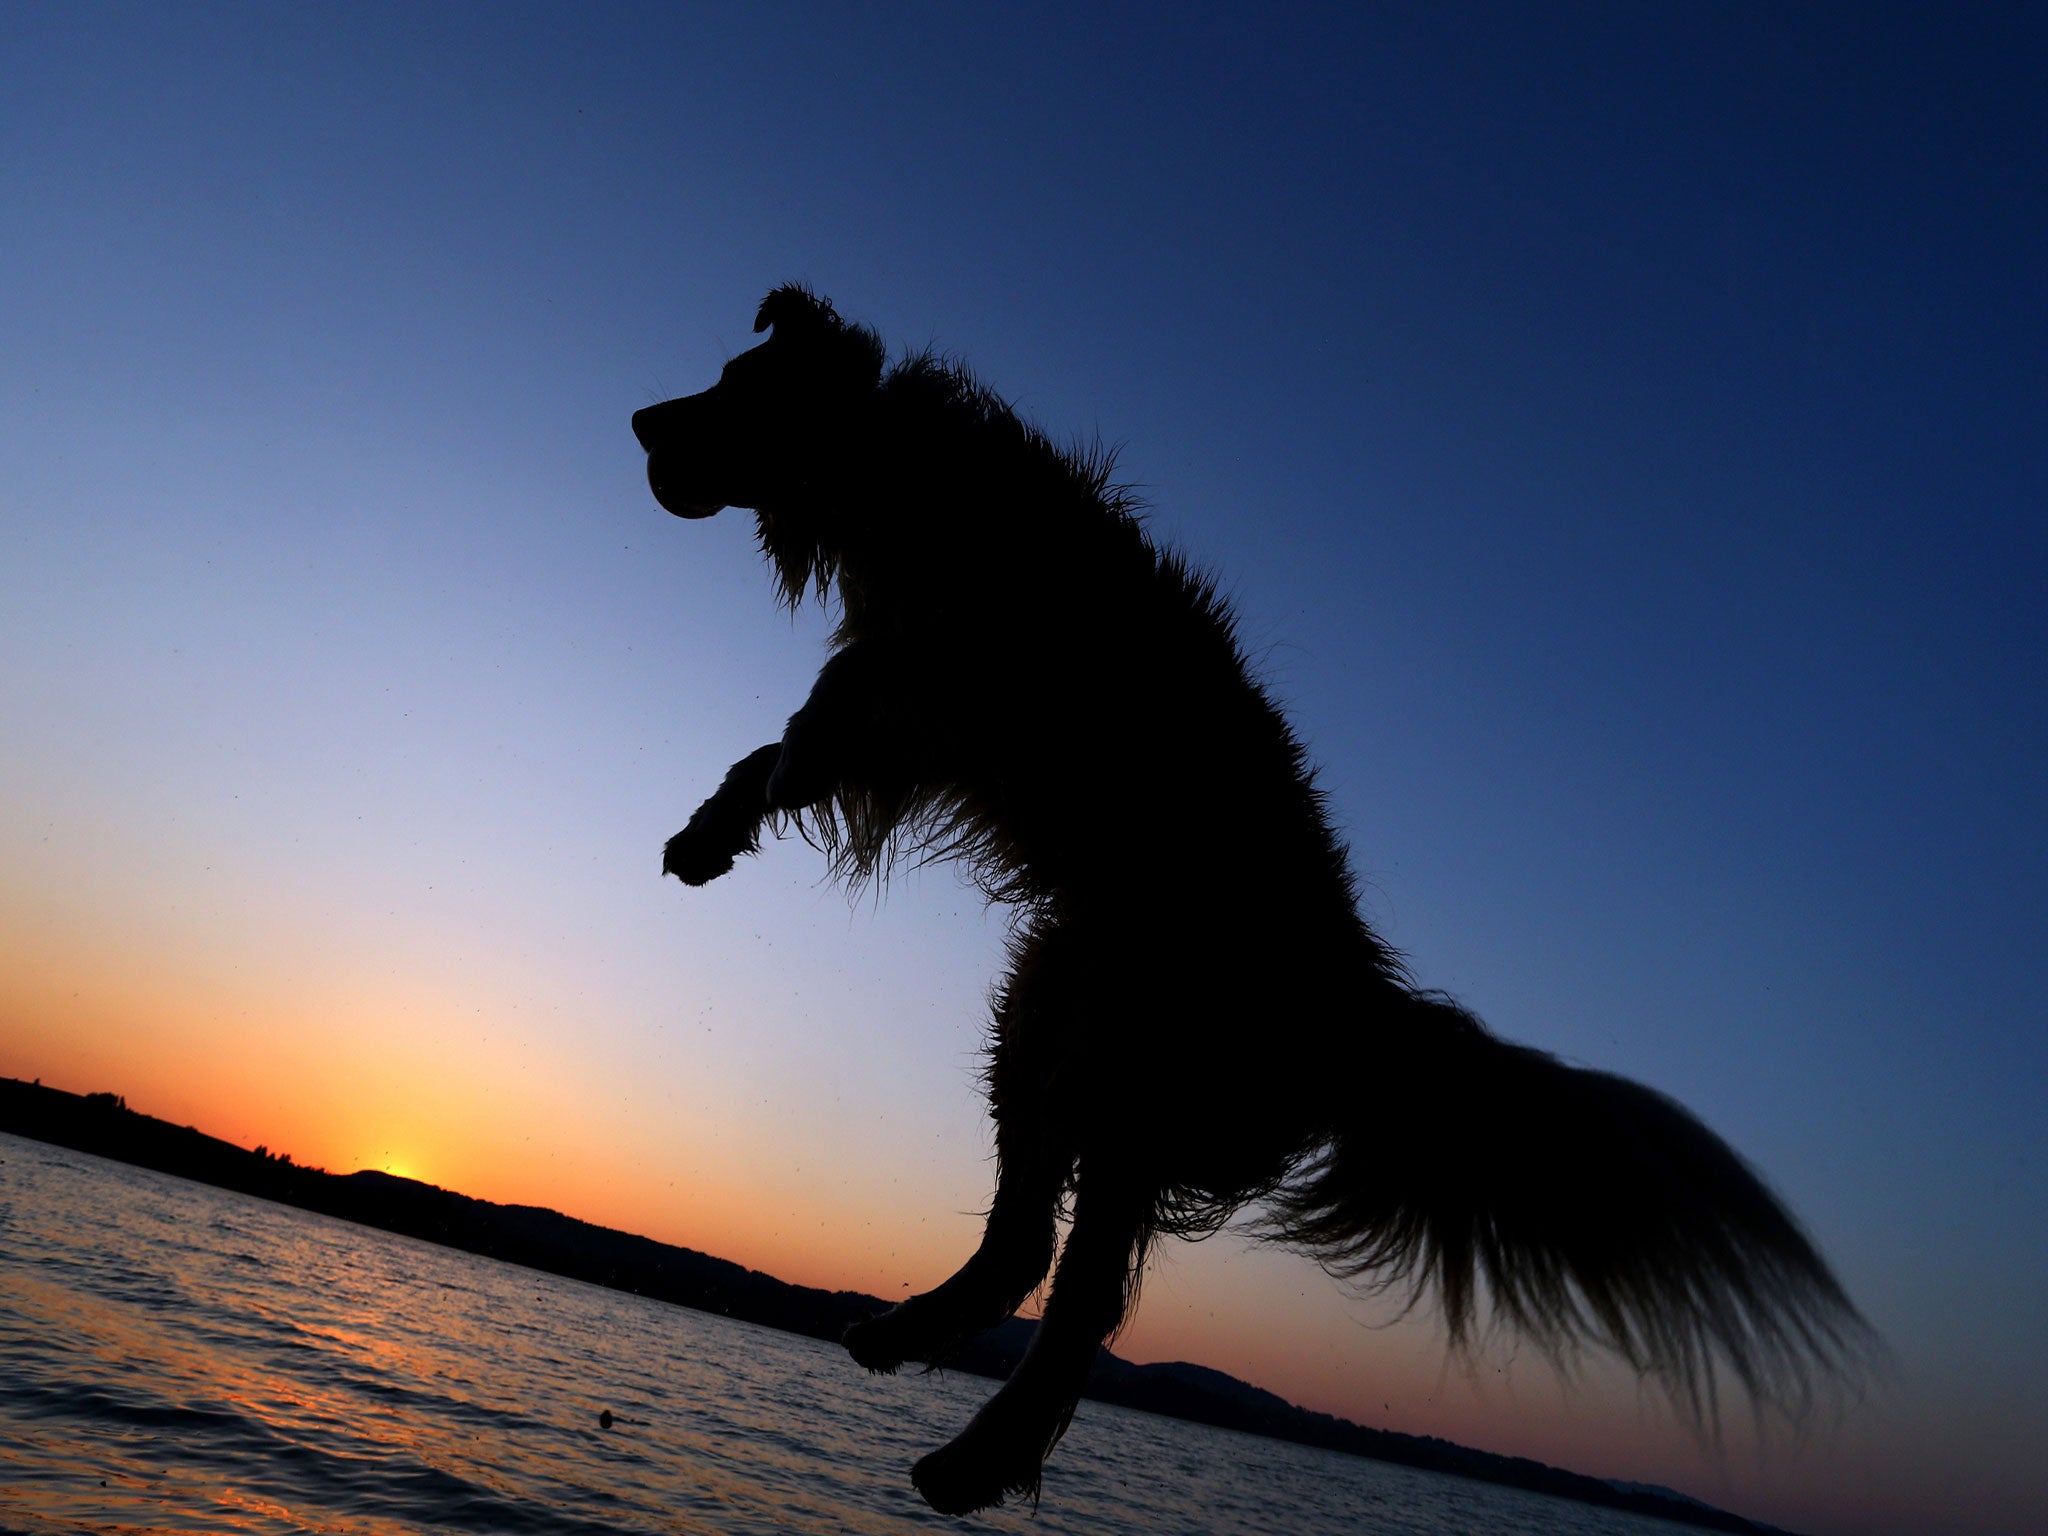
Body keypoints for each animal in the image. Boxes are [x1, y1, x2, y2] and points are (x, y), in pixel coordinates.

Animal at [626, 288, 1875, 1515]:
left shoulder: (957, 663)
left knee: (1080, 1297)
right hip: (1049, 1012)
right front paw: (707, 834)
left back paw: (976, 1459)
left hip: (1127, 1068)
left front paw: (767, 776)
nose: (638, 418)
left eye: (731, 389)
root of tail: (1357, 999)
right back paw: (908, 1338)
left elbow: (828, 707)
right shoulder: (918, 716)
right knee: (1025, 1240)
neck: (893, 459)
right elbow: (786, 748)